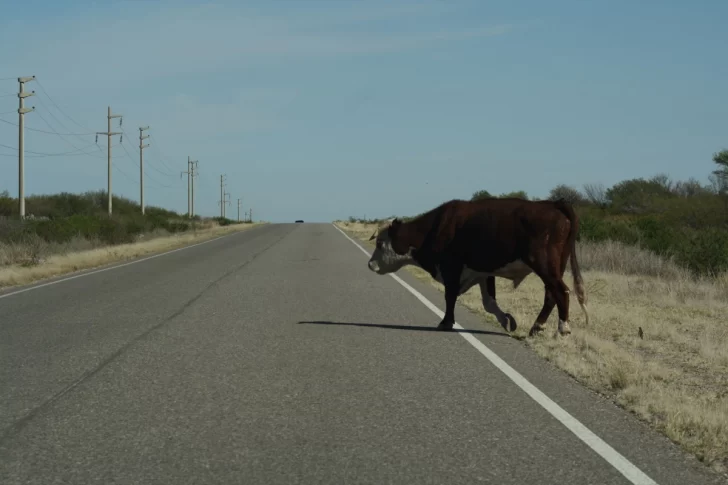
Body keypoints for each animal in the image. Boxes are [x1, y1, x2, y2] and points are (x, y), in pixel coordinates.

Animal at [366, 197, 588, 336]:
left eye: (380, 243)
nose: (370, 264)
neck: (437, 227)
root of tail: (553, 204)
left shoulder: (451, 268)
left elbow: (450, 296)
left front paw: (446, 322)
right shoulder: (482, 273)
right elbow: (488, 302)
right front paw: (507, 320)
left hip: (545, 265)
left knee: (561, 291)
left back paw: (562, 329)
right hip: (555, 267)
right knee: (551, 295)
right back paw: (536, 327)